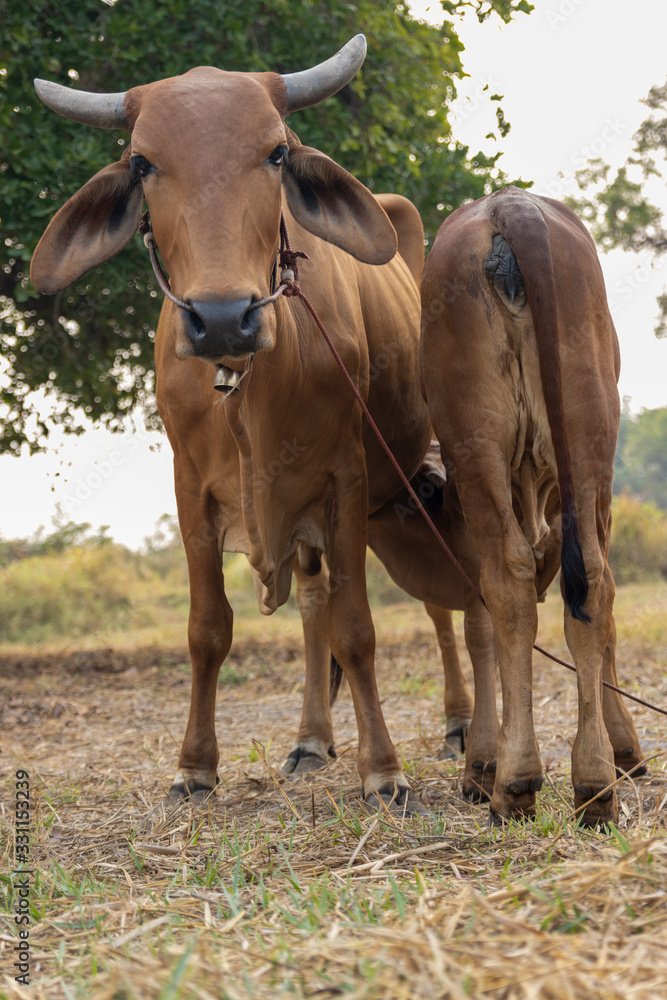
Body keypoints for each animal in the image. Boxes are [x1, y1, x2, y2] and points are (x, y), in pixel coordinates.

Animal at [31, 37, 436, 812]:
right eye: (141, 162)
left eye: (276, 152)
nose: (222, 317)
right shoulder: (190, 488)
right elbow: (208, 629)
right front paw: (194, 766)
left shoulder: (345, 478)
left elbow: (358, 630)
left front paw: (383, 770)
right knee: (312, 604)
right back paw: (310, 741)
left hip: (408, 489)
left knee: (442, 608)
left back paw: (460, 727)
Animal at [420, 188, 644, 828]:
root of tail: (509, 205)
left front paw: (482, 764)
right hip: (589, 432)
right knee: (591, 579)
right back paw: (593, 781)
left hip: (479, 444)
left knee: (510, 584)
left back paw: (516, 781)